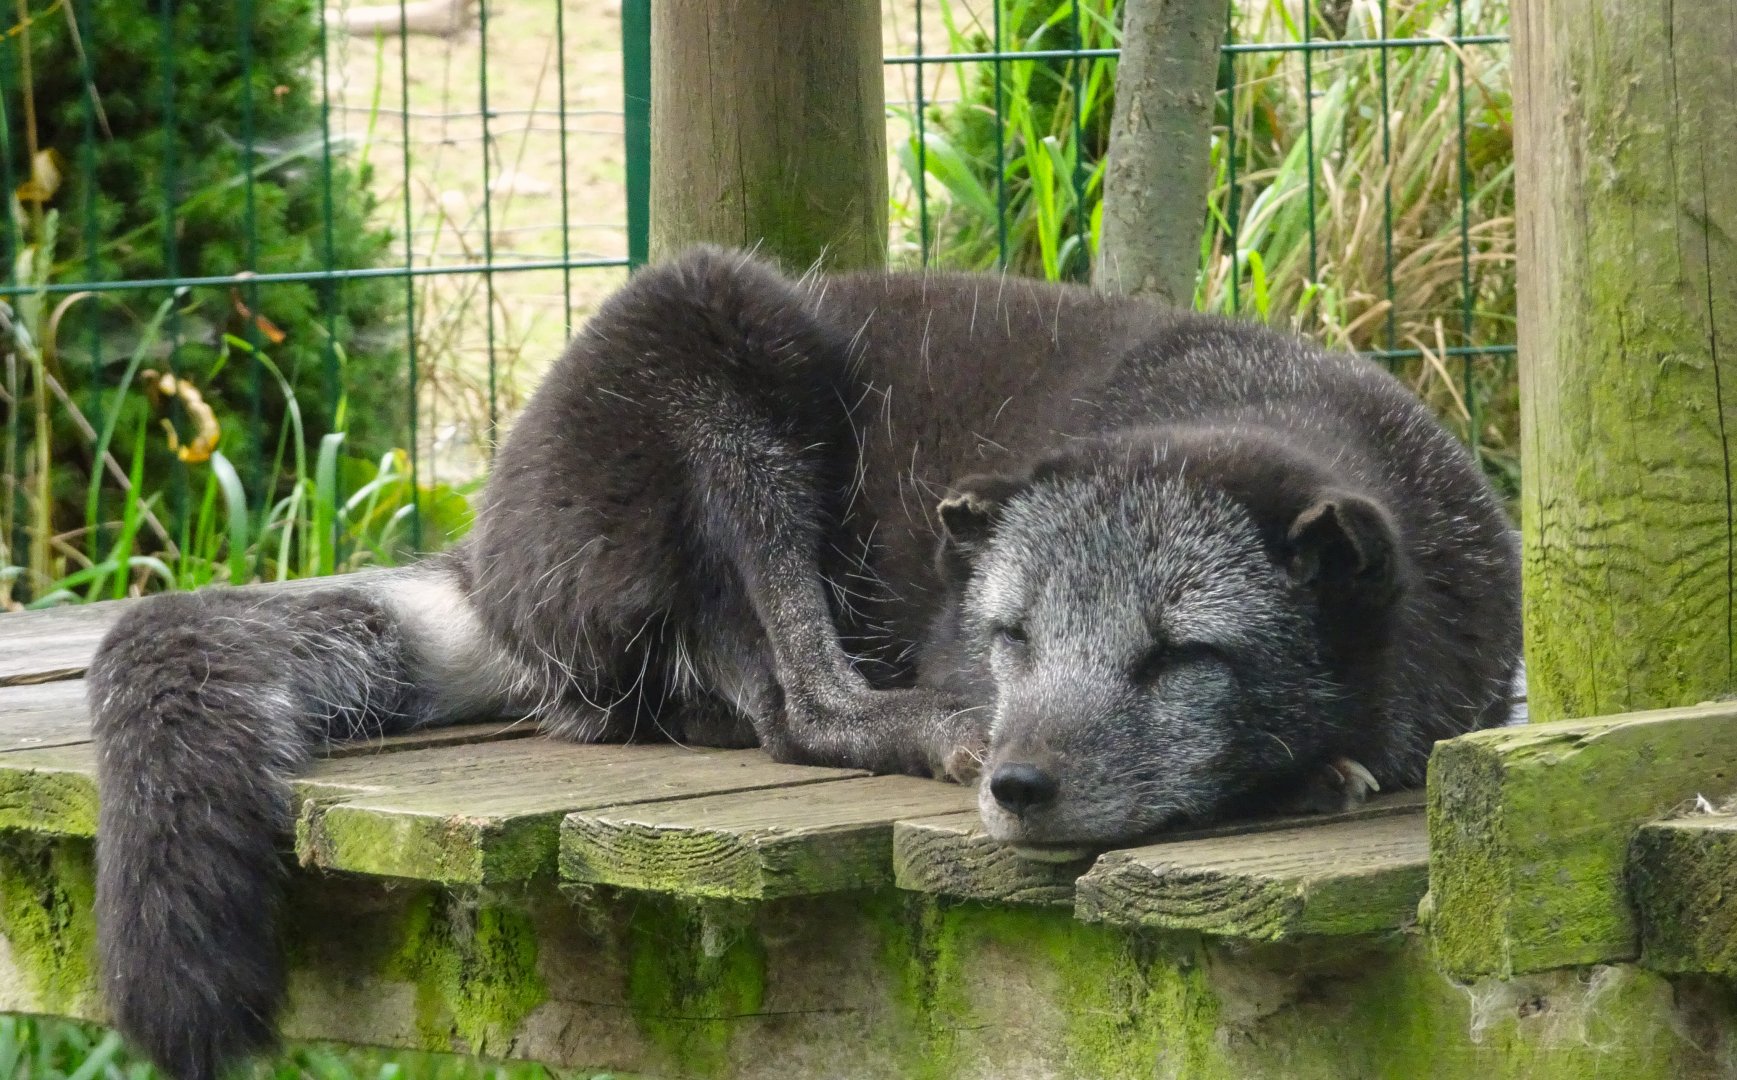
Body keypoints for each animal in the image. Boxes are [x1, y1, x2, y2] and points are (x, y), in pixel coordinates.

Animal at [87, 247, 1520, 1078]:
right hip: (725, 341)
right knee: (793, 705)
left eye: (1179, 655)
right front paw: (1307, 775)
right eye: (1013, 636)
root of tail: (489, 548)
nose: (1017, 788)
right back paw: (899, 729)